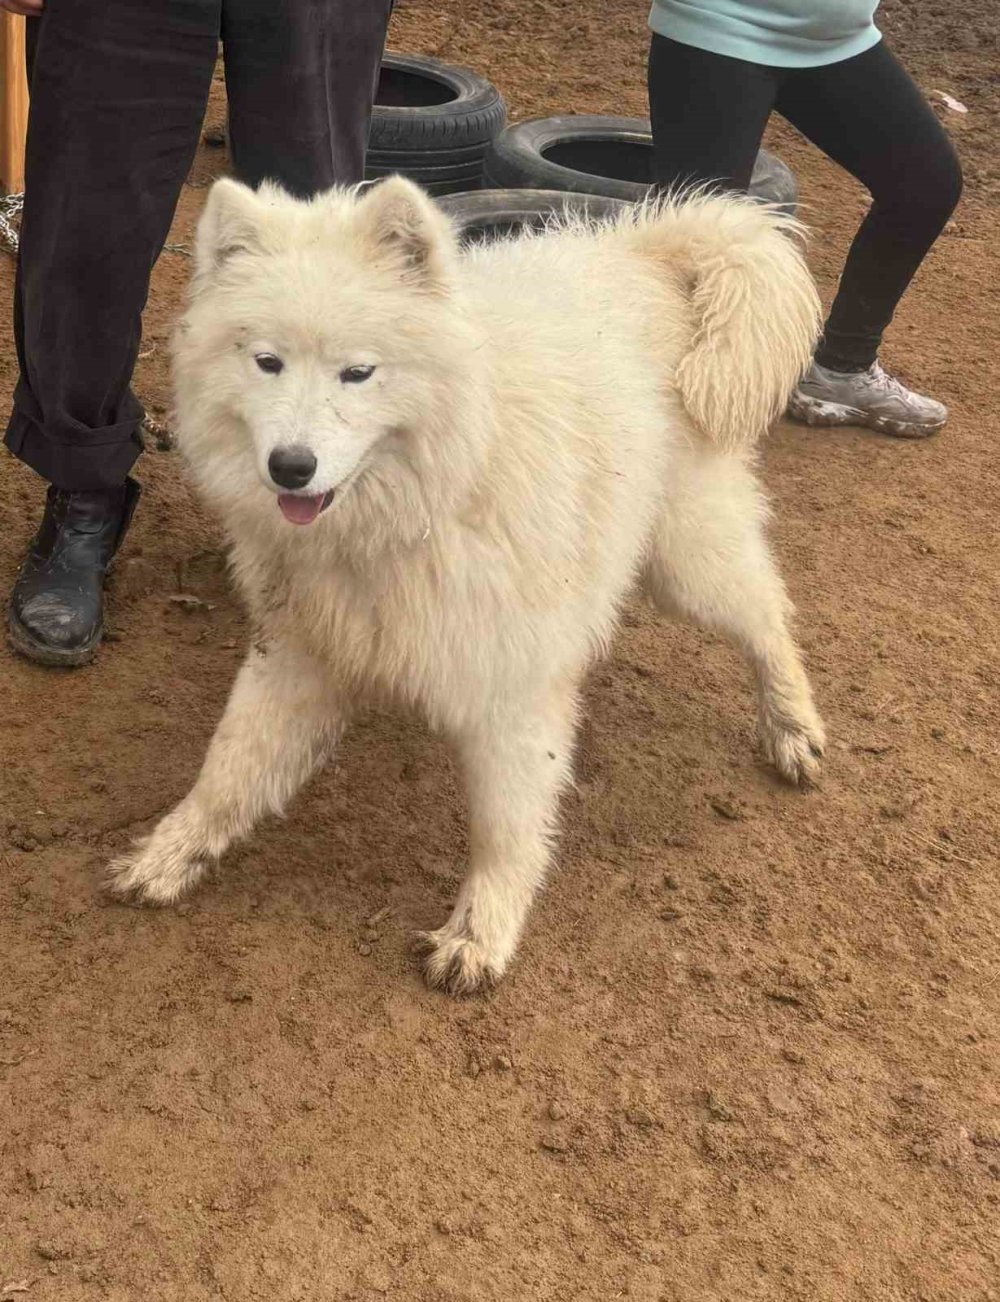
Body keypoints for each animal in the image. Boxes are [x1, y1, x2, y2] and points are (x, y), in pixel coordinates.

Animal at [109, 170, 828, 984]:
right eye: (267, 362)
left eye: (358, 372)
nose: (290, 467)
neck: (426, 500)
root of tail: (643, 251)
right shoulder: (297, 654)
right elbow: (228, 769)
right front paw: (169, 854)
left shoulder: (509, 690)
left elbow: (505, 827)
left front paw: (482, 932)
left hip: (687, 562)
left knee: (768, 617)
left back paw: (794, 727)